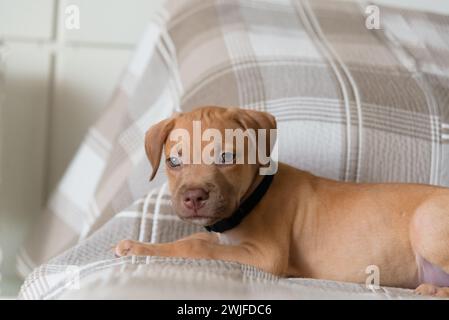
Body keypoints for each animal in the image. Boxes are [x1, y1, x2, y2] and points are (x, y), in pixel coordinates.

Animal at [116, 105, 449, 298]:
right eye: (173, 162)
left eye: (226, 157)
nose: (193, 197)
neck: (252, 198)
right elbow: (197, 239)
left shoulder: (266, 255)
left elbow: (198, 247)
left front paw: (140, 248)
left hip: (426, 223)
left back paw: (432, 290)